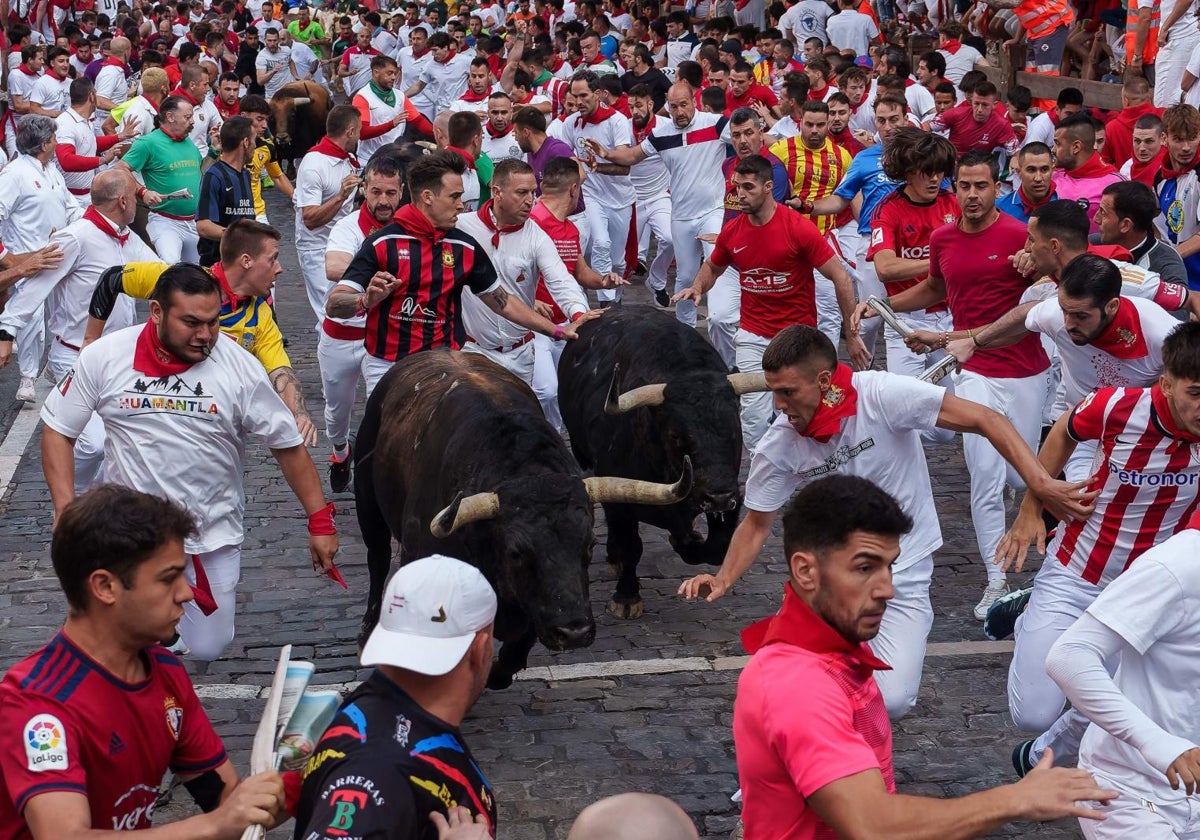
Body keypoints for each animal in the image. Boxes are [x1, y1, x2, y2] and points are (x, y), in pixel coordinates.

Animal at [350, 350, 691, 686]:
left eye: (590, 545)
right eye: (516, 552)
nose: (574, 631)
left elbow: (515, 650)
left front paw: (493, 673)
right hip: (368, 505)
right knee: (377, 560)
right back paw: (367, 632)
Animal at [554, 304, 763, 619]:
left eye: (735, 429)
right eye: (677, 435)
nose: (719, 498)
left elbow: (714, 548)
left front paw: (689, 539)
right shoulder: (620, 496)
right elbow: (631, 545)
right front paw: (626, 597)